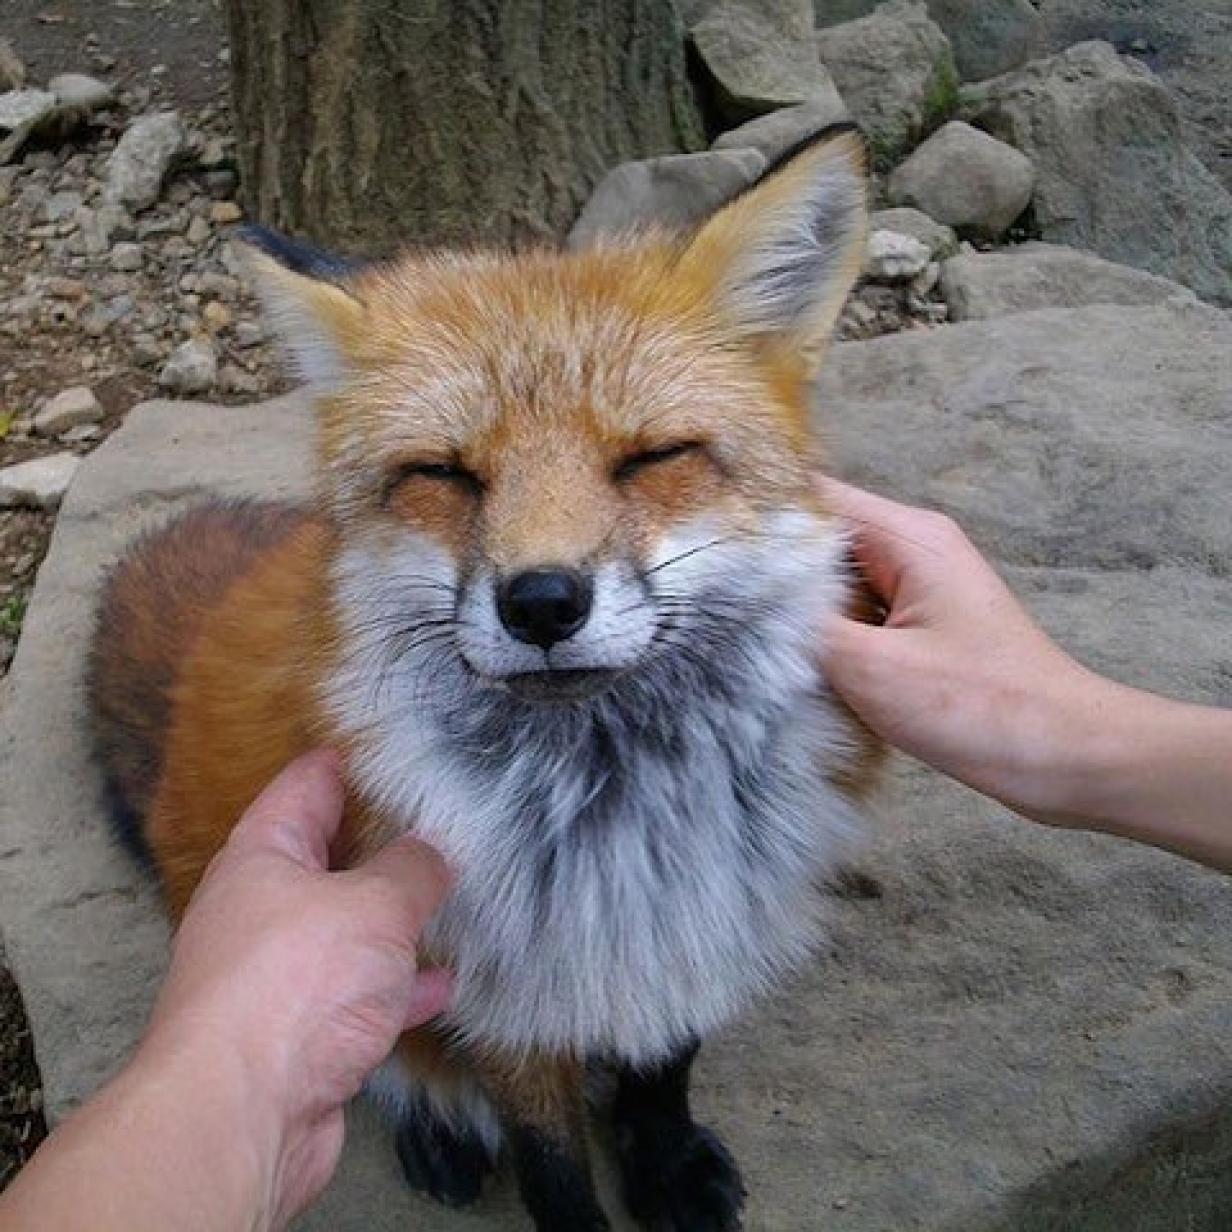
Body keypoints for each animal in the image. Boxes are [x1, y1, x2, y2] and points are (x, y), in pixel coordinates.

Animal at [84, 127, 877, 1232]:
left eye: (651, 458)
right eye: (444, 475)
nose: (541, 602)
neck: (611, 818)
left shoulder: (703, 910)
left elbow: (664, 1066)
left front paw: (666, 1161)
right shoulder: (489, 989)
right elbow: (551, 1165)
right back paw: (438, 1128)